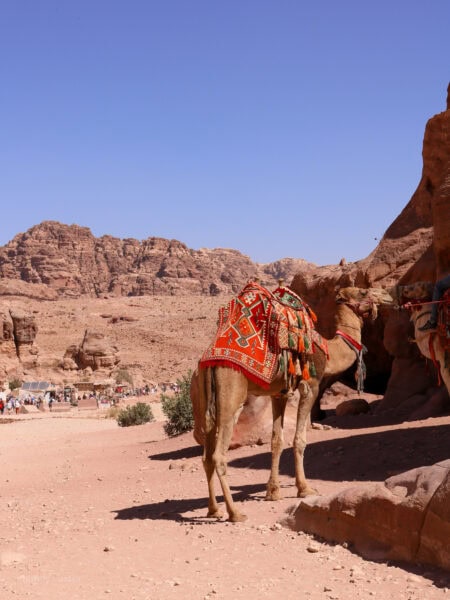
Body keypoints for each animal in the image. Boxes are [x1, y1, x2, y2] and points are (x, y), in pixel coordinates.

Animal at [198, 284, 394, 520]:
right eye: (363, 292)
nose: (388, 296)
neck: (329, 350)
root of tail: (210, 360)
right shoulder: (311, 385)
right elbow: (299, 440)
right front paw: (305, 488)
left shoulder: (279, 394)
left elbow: (276, 441)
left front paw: (273, 492)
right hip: (231, 396)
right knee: (219, 455)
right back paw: (235, 512)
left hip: (205, 401)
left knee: (206, 456)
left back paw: (213, 510)